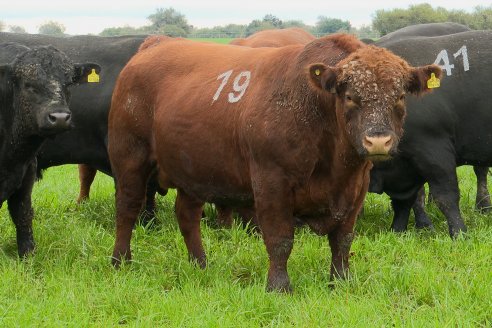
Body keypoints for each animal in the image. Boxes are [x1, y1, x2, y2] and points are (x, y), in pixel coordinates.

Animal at [0, 41, 99, 256]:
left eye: (68, 83)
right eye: (29, 85)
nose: (59, 117)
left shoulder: (27, 171)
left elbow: (23, 213)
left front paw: (28, 255)